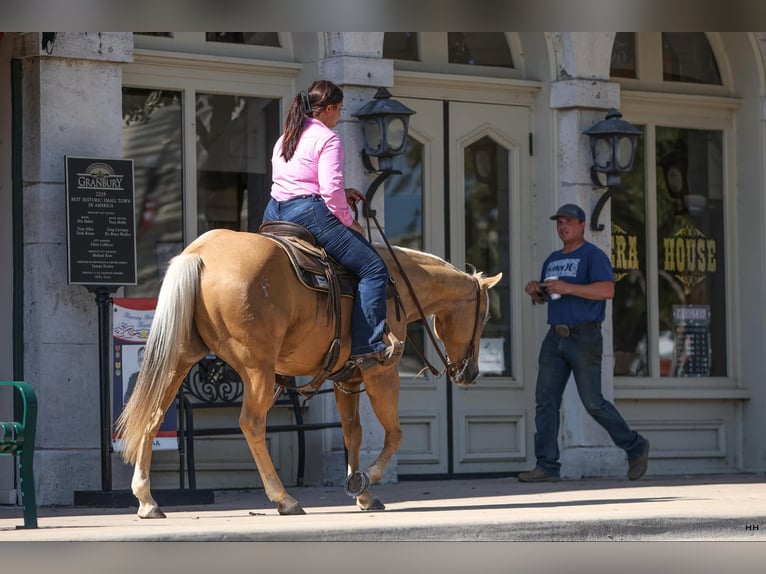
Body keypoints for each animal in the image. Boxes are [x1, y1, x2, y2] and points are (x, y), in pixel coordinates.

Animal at [115, 227, 502, 518]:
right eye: (483, 317)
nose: (470, 373)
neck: (396, 287)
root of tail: (201, 254)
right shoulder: (381, 374)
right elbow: (394, 434)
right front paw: (367, 479)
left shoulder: (347, 380)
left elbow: (353, 434)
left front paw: (361, 493)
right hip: (257, 369)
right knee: (251, 423)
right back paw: (283, 498)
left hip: (178, 362)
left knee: (151, 417)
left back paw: (147, 500)